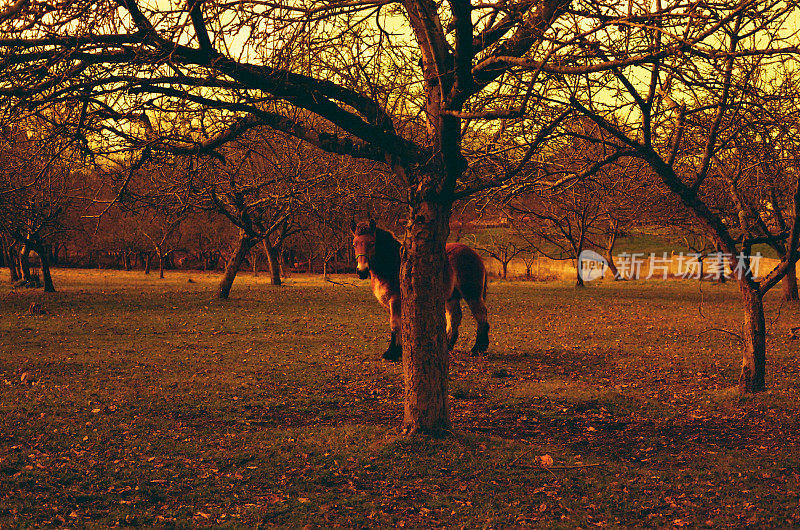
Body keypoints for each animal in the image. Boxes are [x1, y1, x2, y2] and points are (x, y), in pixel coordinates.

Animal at [348, 217, 488, 360]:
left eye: (372, 243)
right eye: (354, 244)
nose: (362, 271)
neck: (393, 265)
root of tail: (474, 253)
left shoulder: (396, 300)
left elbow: (395, 324)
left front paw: (391, 353)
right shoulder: (387, 304)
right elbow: (398, 325)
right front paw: (398, 350)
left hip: (472, 294)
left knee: (480, 315)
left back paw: (478, 348)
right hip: (451, 297)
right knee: (455, 317)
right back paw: (449, 345)